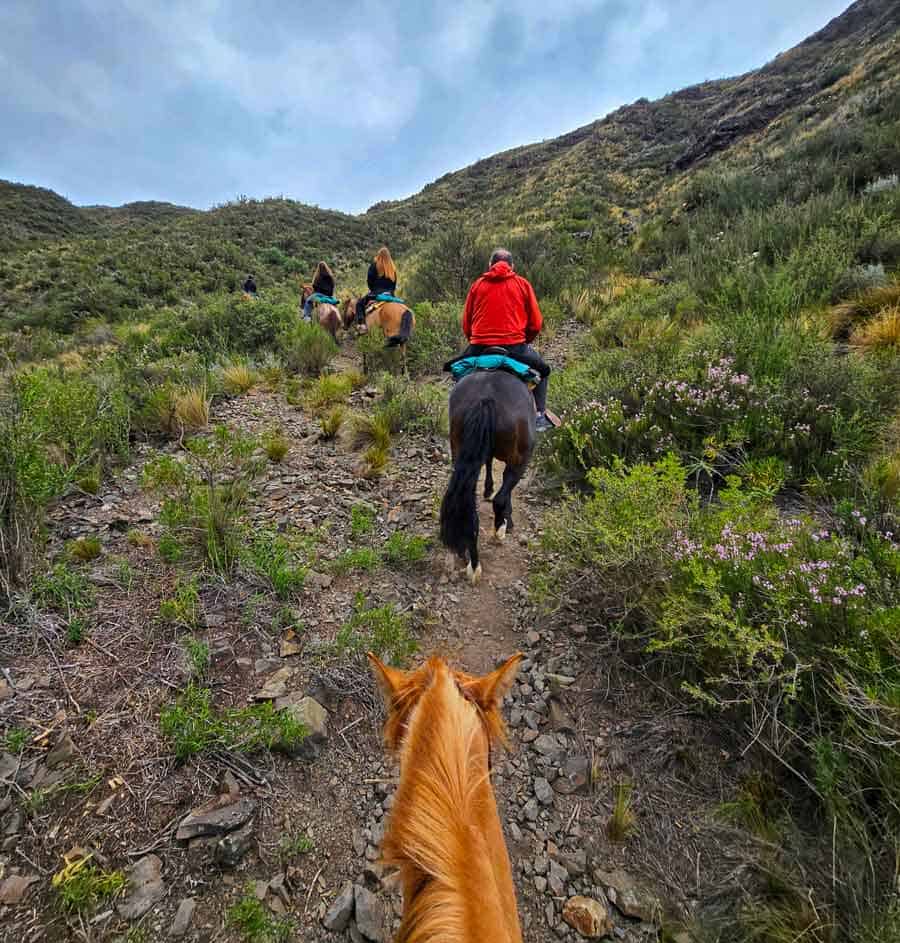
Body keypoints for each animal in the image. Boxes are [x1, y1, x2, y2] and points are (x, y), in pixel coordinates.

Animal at [439, 369, 535, 584]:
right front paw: (507, 521)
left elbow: (489, 463)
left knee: (469, 506)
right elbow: (504, 493)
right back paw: (498, 530)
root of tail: (486, 398)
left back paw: (473, 564)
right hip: (521, 459)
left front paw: (487, 488)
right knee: (500, 498)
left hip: (458, 449)